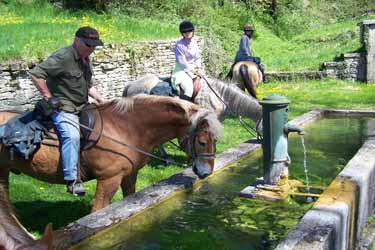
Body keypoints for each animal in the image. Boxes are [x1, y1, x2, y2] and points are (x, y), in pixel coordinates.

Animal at [0, 94, 222, 218]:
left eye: (216, 140)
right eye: (203, 141)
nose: (206, 173)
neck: (126, 128)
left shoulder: (129, 175)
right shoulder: (109, 179)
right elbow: (98, 211)